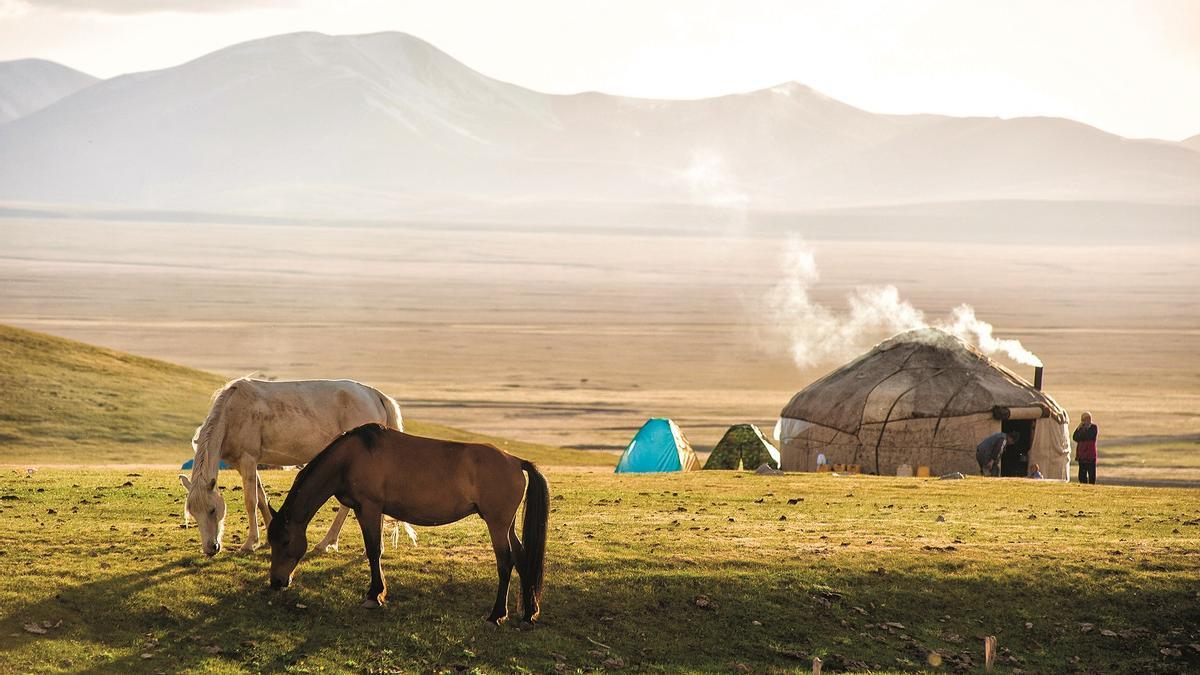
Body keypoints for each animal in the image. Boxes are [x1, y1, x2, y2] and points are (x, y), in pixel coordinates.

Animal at [175, 374, 405, 554]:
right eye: (193, 513)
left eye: (212, 510)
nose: (210, 549)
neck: (231, 412)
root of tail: (374, 394)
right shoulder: (245, 464)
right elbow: (261, 498)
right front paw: (269, 538)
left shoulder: (248, 460)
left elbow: (251, 501)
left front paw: (250, 543)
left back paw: (328, 543)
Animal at [267, 422, 549, 624]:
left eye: (285, 541)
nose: (276, 582)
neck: (351, 457)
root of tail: (516, 461)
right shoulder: (364, 510)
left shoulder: (370, 508)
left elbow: (374, 551)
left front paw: (374, 595)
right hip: (506, 525)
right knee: (522, 558)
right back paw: (528, 613)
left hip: (497, 525)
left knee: (506, 562)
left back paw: (496, 614)